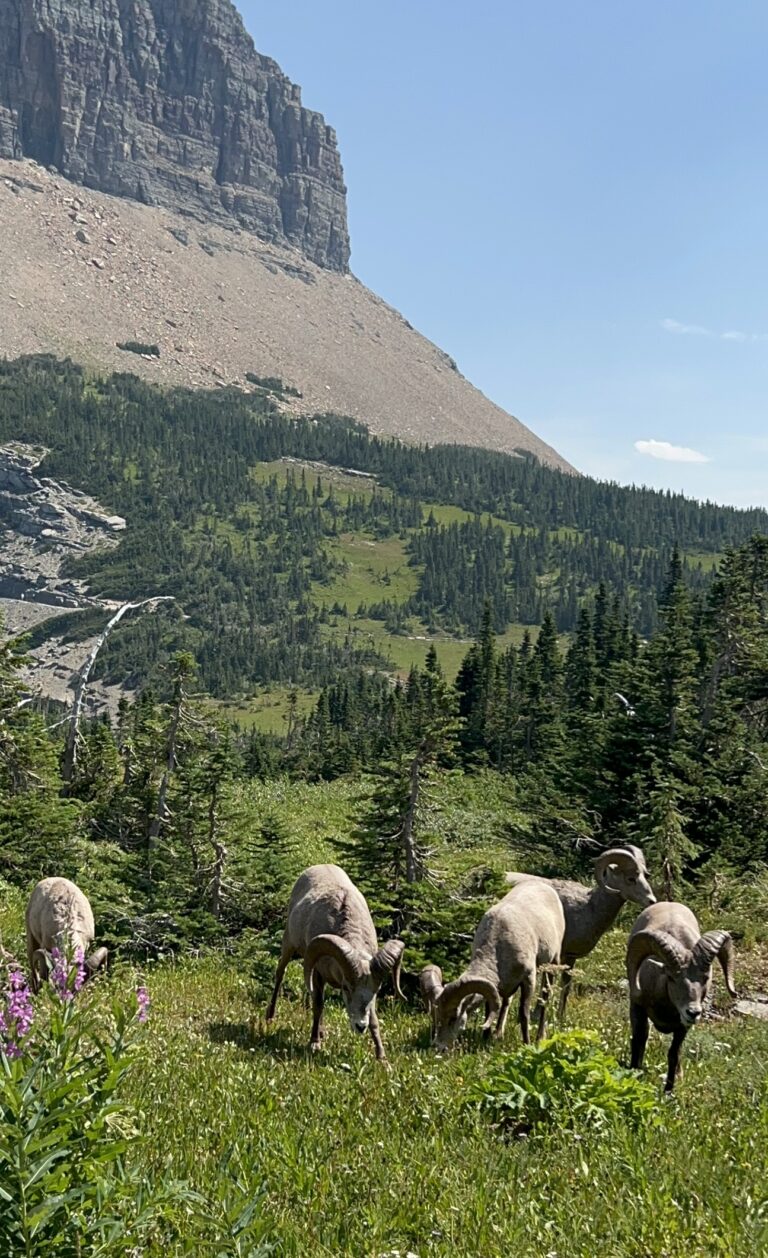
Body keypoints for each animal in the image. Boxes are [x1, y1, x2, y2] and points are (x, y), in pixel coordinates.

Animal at [265, 865, 402, 1061]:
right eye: (346, 988)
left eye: (376, 990)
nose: (360, 1026)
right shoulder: (317, 973)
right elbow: (318, 1005)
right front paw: (315, 1043)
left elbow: (374, 1020)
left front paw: (382, 1058)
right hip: (288, 945)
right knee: (280, 975)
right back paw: (270, 1017)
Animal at [425, 875, 561, 1051]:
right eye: (436, 1014)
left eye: (453, 1017)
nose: (438, 1047)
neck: (498, 945)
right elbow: (489, 1010)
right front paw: (485, 1039)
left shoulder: (528, 979)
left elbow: (524, 1014)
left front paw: (527, 1044)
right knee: (506, 1002)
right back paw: (498, 1034)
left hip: (553, 963)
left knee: (545, 997)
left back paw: (540, 1037)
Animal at [503, 840, 649, 1016]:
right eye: (631, 878)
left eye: (645, 875)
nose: (652, 900)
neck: (589, 907)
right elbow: (546, 987)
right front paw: (538, 1014)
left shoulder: (570, 958)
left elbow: (565, 988)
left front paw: (560, 1017)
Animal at [621, 905, 735, 1091]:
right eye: (671, 977)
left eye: (705, 978)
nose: (693, 1012)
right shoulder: (637, 1009)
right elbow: (639, 1041)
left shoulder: (683, 1027)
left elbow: (673, 1054)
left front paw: (668, 1091)